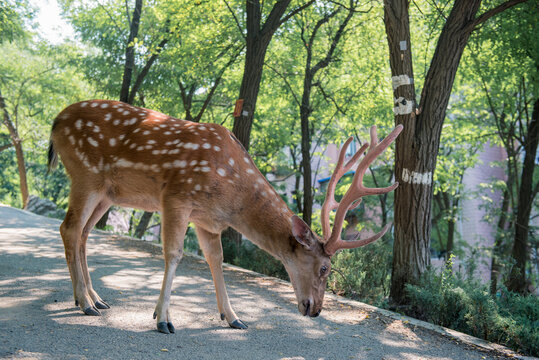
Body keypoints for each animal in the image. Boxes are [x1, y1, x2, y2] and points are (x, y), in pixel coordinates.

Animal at [47, 100, 400, 334]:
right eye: (325, 268)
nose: (315, 310)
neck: (233, 196)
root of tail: (56, 121)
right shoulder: (177, 196)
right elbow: (173, 254)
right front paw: (163, 319)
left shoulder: (207, 220)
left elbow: (216, 261)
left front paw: (233, 318)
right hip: (86, 175)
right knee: (69, 228)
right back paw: (85, 303)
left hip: (107, 193)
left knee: (83, 233)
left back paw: (96, 299)